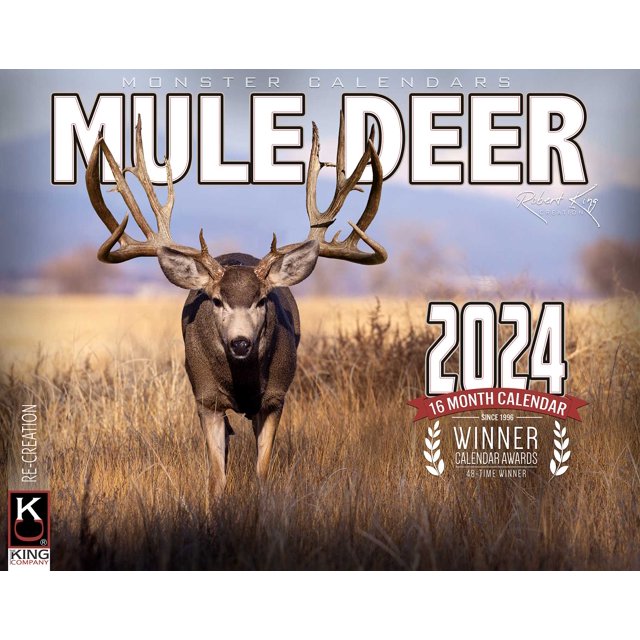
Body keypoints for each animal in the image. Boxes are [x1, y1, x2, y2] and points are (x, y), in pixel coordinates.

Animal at [85, 113, 386, 499]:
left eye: (262, 300)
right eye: (217, 300)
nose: (240, 342)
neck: (241, 382)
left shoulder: (275, 398)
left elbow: (262, 471)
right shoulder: (206, 399)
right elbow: (217, 477)